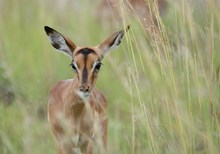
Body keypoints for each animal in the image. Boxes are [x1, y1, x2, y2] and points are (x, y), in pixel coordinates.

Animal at [44, 25, 129, 153]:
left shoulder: (87, 142)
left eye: (98, 65)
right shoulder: (63, 144)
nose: (84, 88)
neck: (73, 114)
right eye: (73, 65)